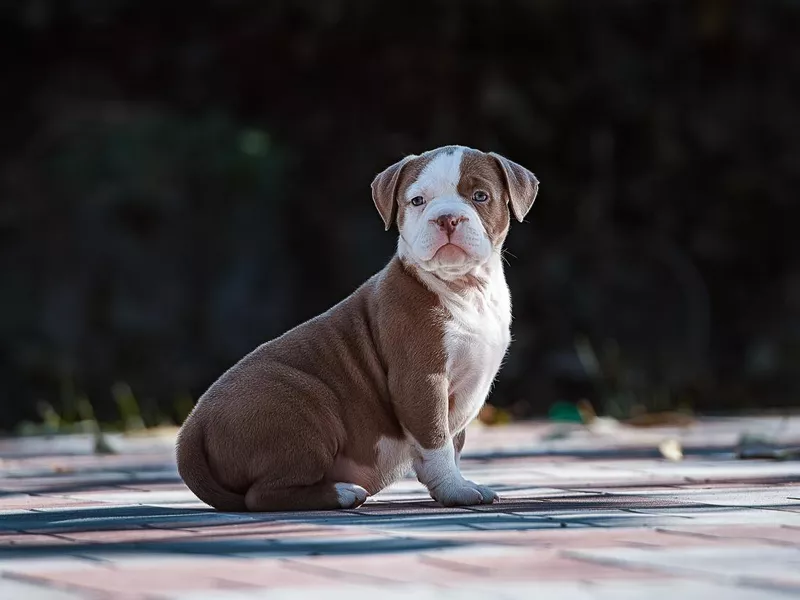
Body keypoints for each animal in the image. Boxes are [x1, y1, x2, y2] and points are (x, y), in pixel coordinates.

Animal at [175, 145, 536, 510]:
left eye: (480, 196)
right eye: (417, 201)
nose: (447, 218)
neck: (464, 289)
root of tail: (193, 428)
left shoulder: (460, 394)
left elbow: (454, 442)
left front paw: (455, 483)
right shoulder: (422, 380)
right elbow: (437, 441)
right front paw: (455, 489)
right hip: (306, 409)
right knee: (261, 494)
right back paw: (342, 492)